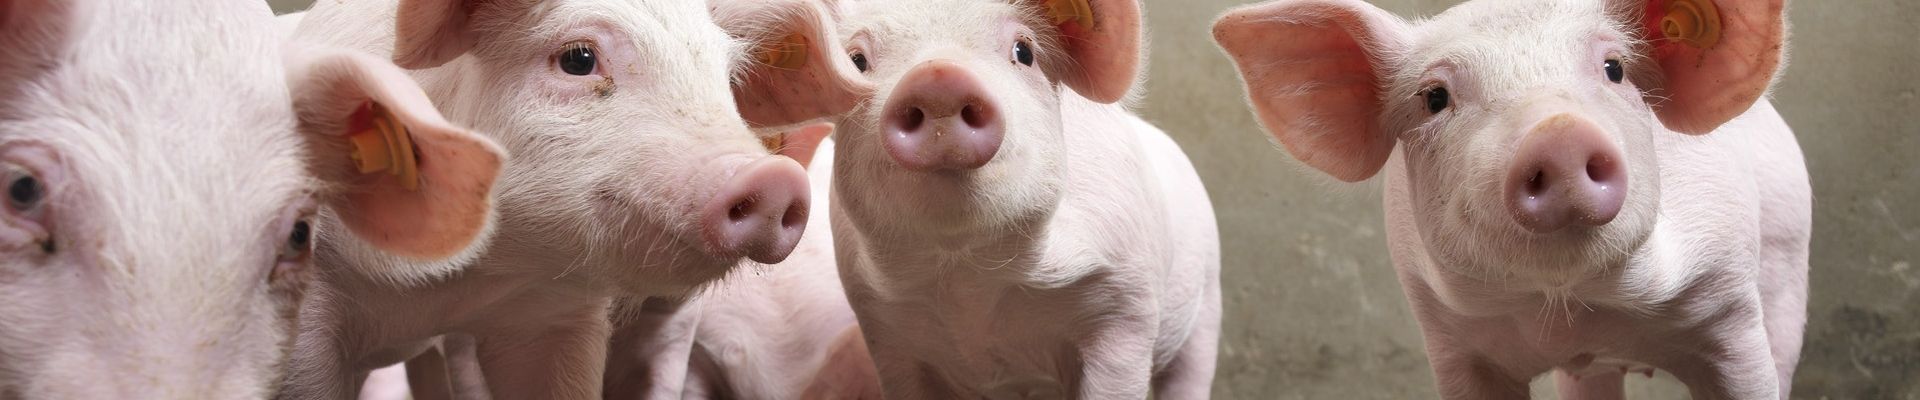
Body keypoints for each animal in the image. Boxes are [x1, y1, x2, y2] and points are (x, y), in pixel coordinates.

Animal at [823, 0, 1223, 398]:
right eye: (856, 61)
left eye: (1024, 52)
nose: (938, 76)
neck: (968, 279)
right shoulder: (883, 330)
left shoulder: (1127, 306)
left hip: (1208, 294)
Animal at [1213, 0, 1808, 398]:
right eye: (1435, 98)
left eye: (1615, 68)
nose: (1558, 131)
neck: (1571, 315)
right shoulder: (1454, 347)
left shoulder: (1730, 313)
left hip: (1786, 267)